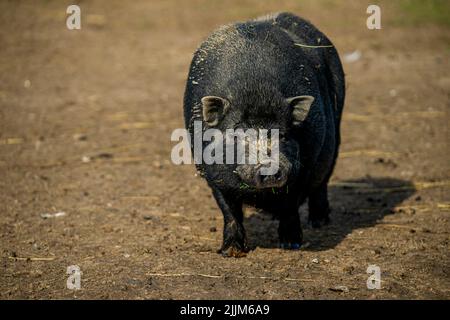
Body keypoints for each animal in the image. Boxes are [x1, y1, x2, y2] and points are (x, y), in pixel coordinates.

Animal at [183, 12, 344, 258]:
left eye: (284, 135)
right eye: (237, 135)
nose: (269, 166)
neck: (256, 88)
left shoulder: (304, 168)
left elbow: (290, 205)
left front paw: (291, 245)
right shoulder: (211, 174)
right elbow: (229, 210)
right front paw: (230, 252)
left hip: (334, 138)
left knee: (322, 183)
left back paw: (318, 222)